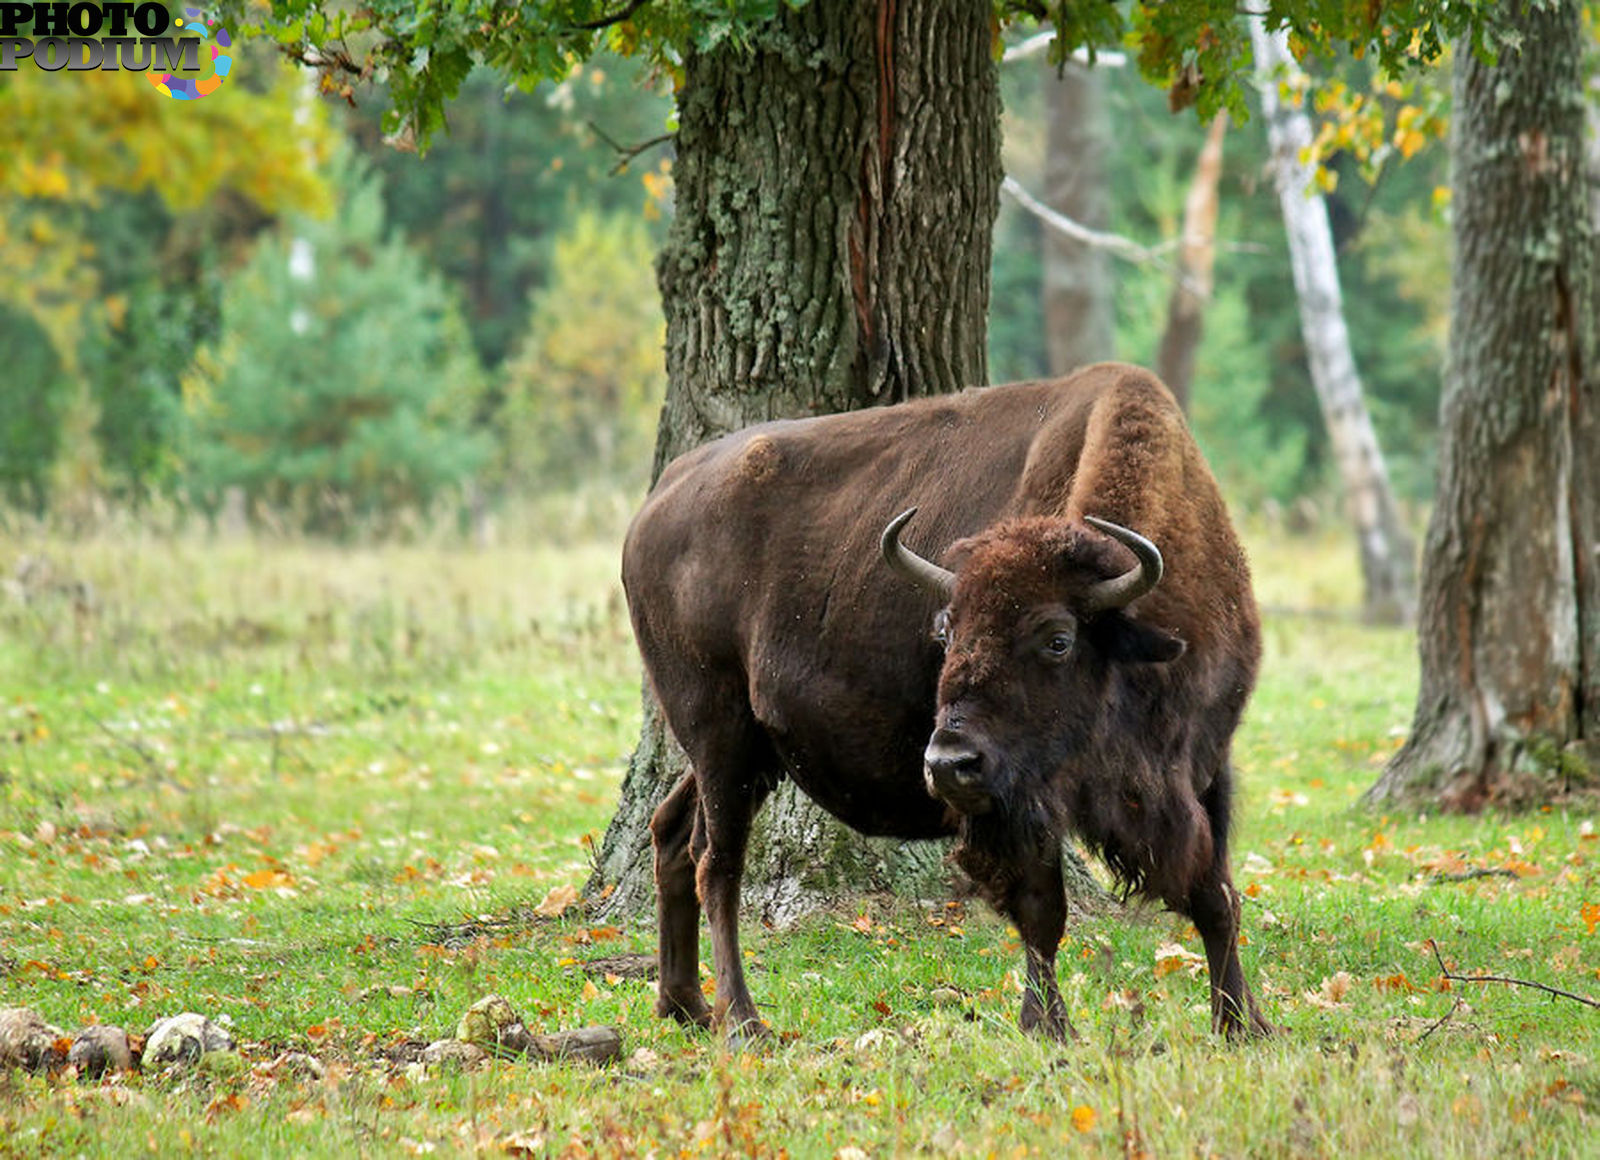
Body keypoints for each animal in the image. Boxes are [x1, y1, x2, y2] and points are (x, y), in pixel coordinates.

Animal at [617, 364, 1267, 1043]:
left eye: (1058, 639)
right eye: (946, 631)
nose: (947, 764)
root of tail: (654, 508)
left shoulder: (1203, 765)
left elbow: (1217, 896)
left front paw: (1243, 1024)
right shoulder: (1019, 801)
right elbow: (1043, 909)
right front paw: (1048, 1026)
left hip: (746, 753)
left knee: (671, 833)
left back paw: (684, 1006)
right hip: (718, 733)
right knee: (716, 863)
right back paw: (741, 1020)